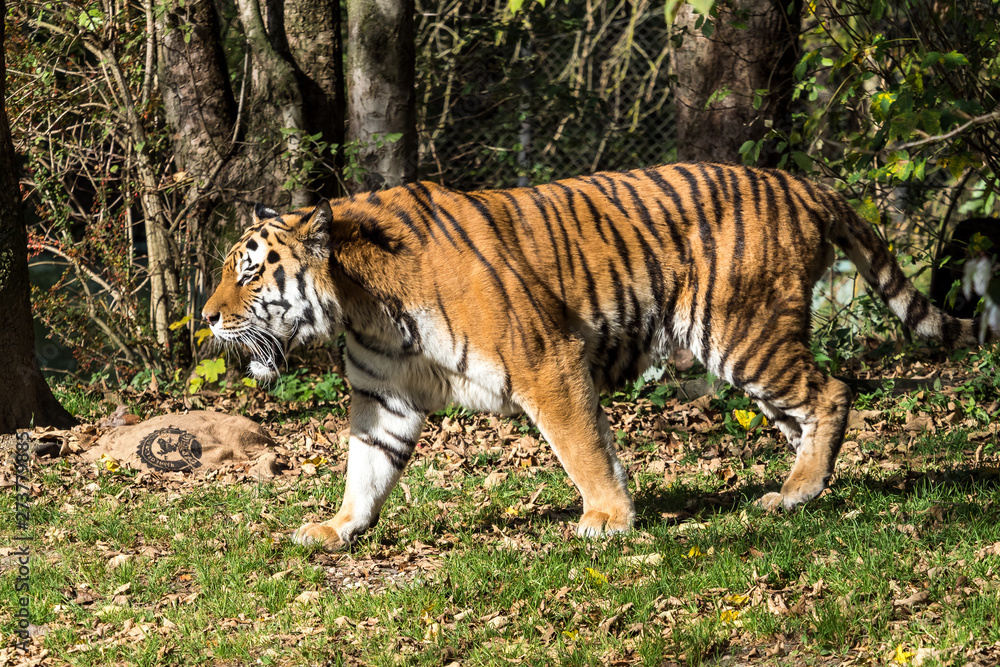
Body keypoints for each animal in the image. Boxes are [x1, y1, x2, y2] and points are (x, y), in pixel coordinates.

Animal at [202, 162, 995, 552]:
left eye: (249, 272)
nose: (206, 317)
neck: (361, 304)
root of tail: (800, 181)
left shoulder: (545, 358)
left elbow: (581, 445)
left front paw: (608, 519)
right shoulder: (383, 398)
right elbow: (366, 470)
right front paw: (337, 529)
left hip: (742, 332)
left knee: (833, 390)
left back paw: (798, 491)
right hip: (750, 350)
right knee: (805, 411)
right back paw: (803, 485)